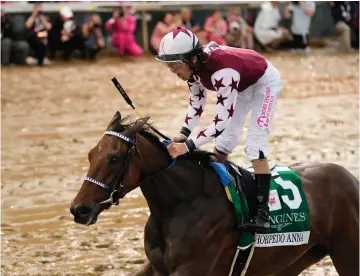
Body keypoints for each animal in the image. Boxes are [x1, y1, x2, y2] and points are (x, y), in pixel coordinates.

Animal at [69, 112, 358, 276]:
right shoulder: (157, 267)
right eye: (91, 155)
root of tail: (351, 178)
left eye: (114, 158)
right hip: (294, 259)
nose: (79, 209)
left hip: (347, 253)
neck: (181, 203)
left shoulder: (191, 269)